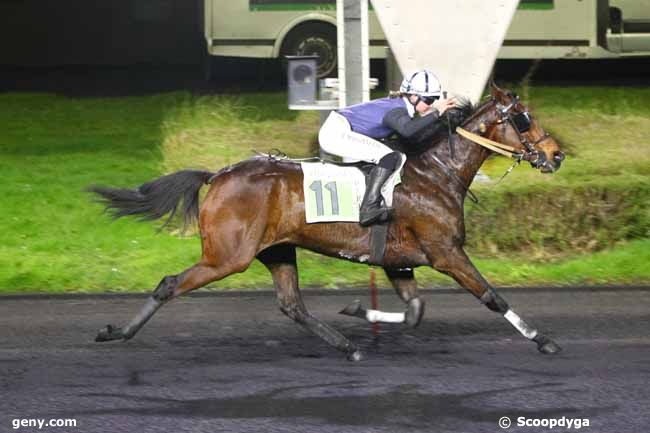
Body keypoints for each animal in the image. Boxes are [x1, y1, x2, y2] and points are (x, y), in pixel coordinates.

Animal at [88, 82, 564, 360]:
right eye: (523, 119)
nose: (556, 155)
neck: (434, 174)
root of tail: (218, 175)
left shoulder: (400, 261)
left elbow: (415, 311)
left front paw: (357, 310)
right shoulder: (446, 252)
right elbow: (491, 297)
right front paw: (543, 339)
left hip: (277, 250)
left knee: (292, 305)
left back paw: (347, 345)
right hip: (228, 256)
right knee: (170, 284)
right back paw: (117, 334)